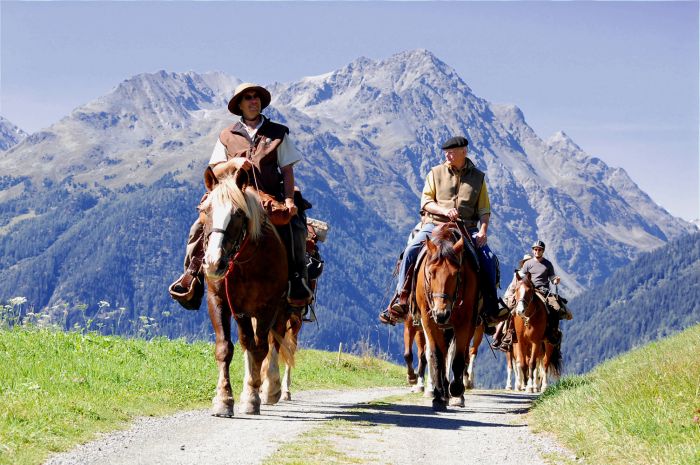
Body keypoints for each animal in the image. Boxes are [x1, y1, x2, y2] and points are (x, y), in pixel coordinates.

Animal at [200, 169, 296, 416]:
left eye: (238, 214)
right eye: (205, 210)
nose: (213, 263)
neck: (246, 263)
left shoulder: (267, 307)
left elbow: (261, 348)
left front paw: (253, 396)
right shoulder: (222, 302)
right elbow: (226, 348)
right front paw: (224, 399)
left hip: (283, 311)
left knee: (272, 343)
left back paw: (270, 388)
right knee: (248, 346)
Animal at [416, 223, 482, 408]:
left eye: (455, 274)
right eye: (430, 272)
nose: (441, 313)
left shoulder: (465, 321)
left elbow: (458, 358)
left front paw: (456, 390)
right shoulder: (429, 320)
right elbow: (438, 355)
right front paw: (438, 394)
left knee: (461, 353)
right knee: (443, 354)